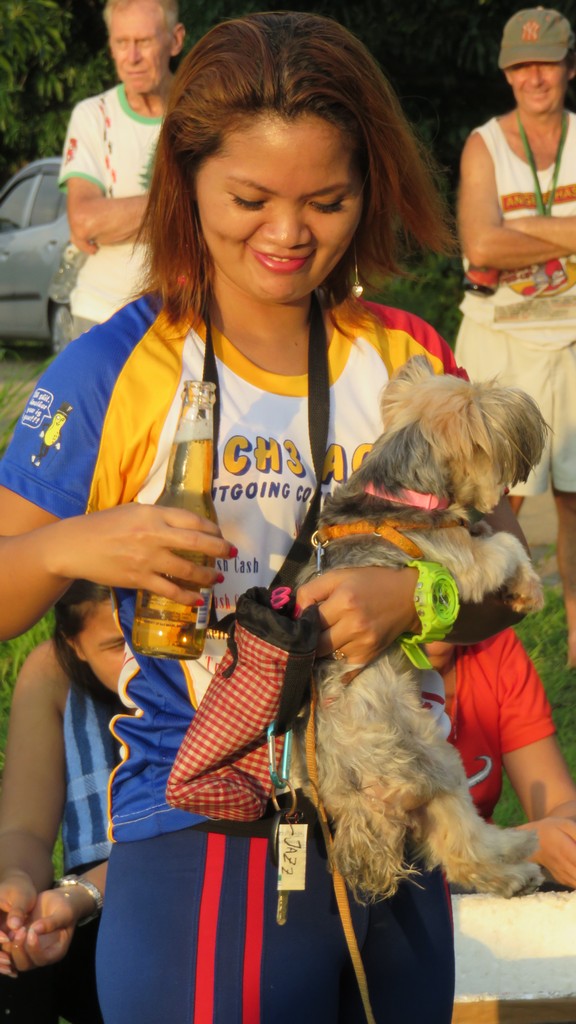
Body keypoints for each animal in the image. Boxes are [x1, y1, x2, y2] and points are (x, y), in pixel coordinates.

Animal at [295, 355, 549, 903]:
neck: (399, 488)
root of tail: (356, 797)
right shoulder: (464, 558)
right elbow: (505, 547)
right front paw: (529, 588)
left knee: (461, 851)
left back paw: (515, 865)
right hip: (436, 759)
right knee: (465, 842)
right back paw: (519, 853)